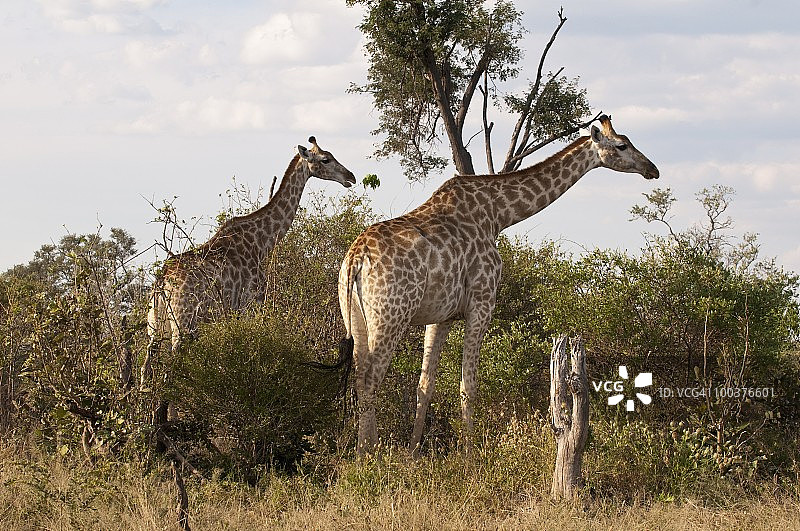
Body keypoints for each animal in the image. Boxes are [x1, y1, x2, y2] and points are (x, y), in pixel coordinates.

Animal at [145, 137, 356, 370]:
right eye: (325, 159)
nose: (351, 177)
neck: (261, 243)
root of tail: (162, 281)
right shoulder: (252, 303)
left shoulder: (232, 312)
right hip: (183, 323)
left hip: (155, 325)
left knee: (147, 365)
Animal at [336, 115, 659, 454]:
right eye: (622, 145)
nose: (652, 169)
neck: (498, 215)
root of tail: (356, 259)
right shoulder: (482, 302)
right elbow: (469, 384)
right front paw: (469, 453)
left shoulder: (442, 316)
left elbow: (425, 385)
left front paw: (413, 451)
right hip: (391, 315)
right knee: (370, 379)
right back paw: (368, 453)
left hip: (357, 317)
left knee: (360, 377)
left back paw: (366, 449)